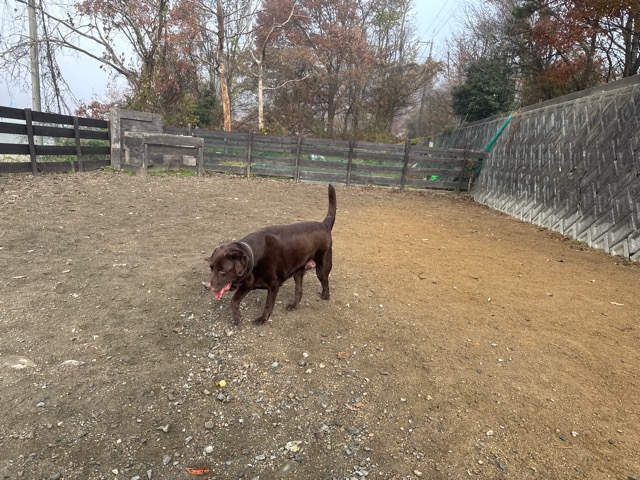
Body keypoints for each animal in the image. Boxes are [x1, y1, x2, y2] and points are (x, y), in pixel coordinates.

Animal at [203, 184, 336, 325]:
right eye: (211, 268)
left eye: (222, 270)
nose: (206, 286)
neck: (254, 257)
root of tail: (324, 224)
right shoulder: (247, 284)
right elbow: (233, 300)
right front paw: (237, 317)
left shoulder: (273, 285)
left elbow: (268, 304)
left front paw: (262, 319)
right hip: (298, 272)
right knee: (299, 291)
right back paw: (294, 305)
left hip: (322, 267)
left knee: (325, 282)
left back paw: (325, 296)